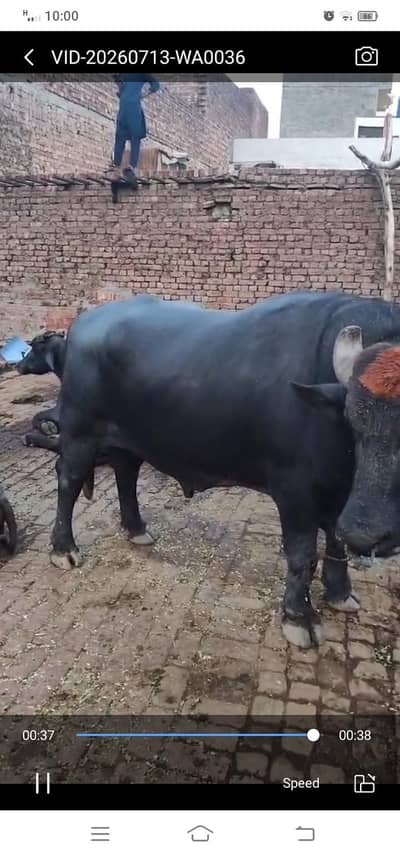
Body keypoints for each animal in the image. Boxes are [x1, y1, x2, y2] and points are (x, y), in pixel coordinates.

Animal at [42, 291, 400, 647]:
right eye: (353, 418)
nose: (367, 534)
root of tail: (83, 323)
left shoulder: (339, 495)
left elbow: (336, 542)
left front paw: (340, 593)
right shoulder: (294, 492)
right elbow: (303, 555)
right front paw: (299, 616)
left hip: (127, 439)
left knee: (126, 473)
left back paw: (136, 529)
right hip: (79, 434)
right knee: (68, 479)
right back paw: (64, 549)